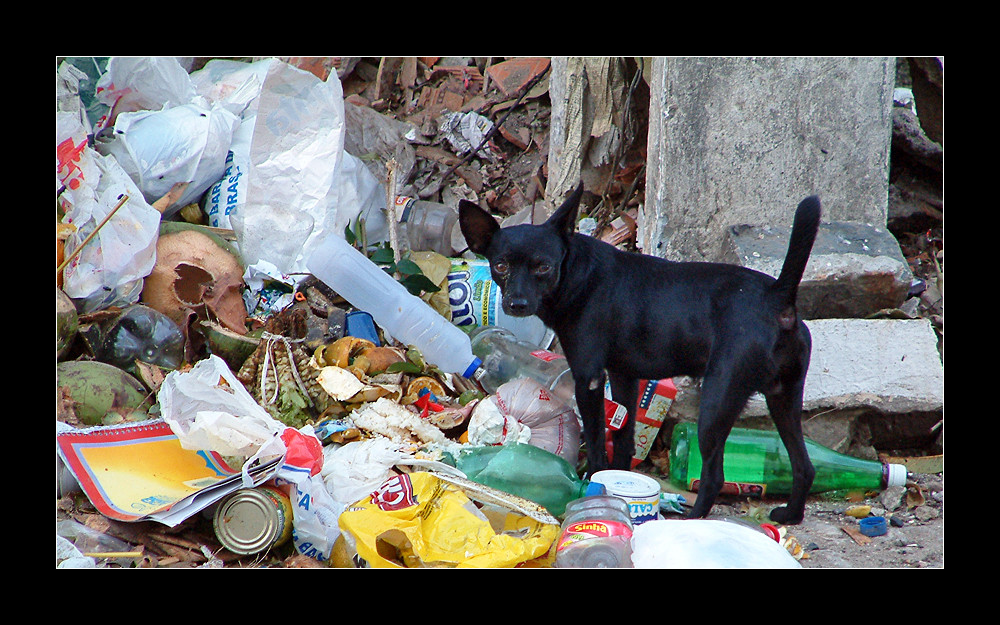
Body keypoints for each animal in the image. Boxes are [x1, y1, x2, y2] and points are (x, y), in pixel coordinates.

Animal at [458, 184, 820, 520]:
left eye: (543, 267)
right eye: (501, 265)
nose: (516, 304)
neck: (577, 272)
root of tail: (777, 297)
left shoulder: (588, 379)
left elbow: (596, 436)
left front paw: (594, 479)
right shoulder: (624, 377)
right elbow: (624, 437)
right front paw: (615, 478)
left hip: (718, 400)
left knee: (716, 476)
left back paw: (692, 518)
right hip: (783, 398)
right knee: (805, 466)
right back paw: (790, 514)